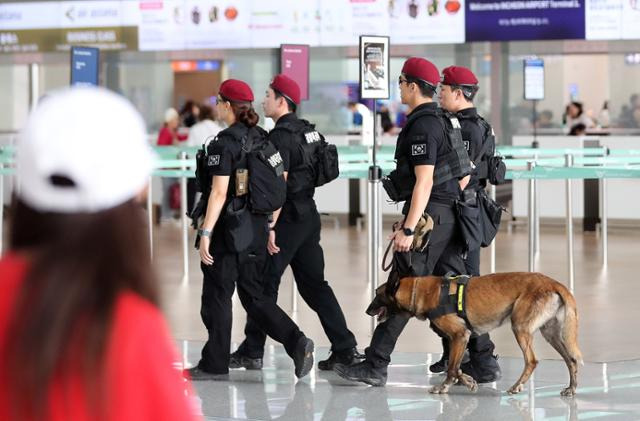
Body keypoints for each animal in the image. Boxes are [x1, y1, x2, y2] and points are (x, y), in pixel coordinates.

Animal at [368, 272, 584, 394]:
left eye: (377, 295)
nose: (366, 311)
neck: (419, 291)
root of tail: (554, 284)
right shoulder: (459, 339)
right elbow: (455, 366)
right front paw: (466, 381)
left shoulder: (459, 335)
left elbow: (452, 368)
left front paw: (448, 386)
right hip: (552, 335)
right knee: (571, 360)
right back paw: (571, 388)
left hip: (520, 328)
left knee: (532, 361)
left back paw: (516, 386)